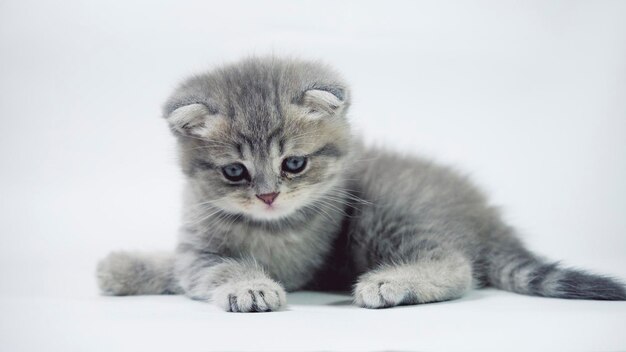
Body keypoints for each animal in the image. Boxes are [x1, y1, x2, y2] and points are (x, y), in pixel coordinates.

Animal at [95, 56, 620, 312]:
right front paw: (122, 268)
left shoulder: (296, 264)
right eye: (234, 172)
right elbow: (181, 266)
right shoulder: (194, 250)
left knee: (456, 265)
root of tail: (489, 219)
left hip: (384, 214)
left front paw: (250, 287)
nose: (268, 195)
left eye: (294, 164)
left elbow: (218, 271)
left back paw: (390, 283)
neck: (264, 225)